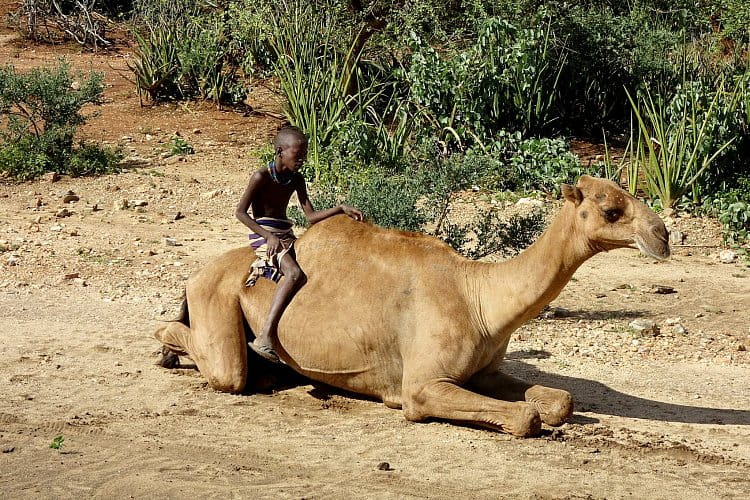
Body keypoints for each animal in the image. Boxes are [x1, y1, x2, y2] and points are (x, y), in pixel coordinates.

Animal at [156, 176, 672, 438]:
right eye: (611, 210)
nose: (663, 235)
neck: (479, 297)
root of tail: (200, 271)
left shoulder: (483, 369)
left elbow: (560, 401)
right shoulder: (422, 387)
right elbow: (524, 416)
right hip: (219, 296)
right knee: (226, 370)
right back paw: (165, 347)